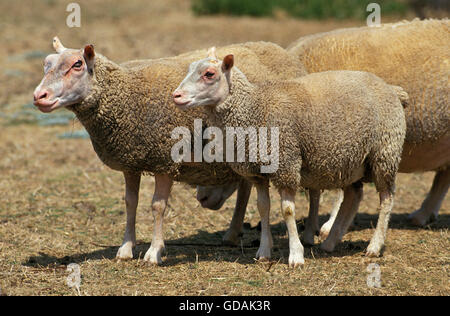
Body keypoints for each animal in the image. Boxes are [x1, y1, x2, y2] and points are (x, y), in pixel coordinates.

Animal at [31, 36, 306, 264]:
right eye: (46, 63)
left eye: (77, 64)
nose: (38, 96)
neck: (128, 95)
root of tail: (278, 48)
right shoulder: (131, 161)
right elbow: (130, 203)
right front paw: (125, 248)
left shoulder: (164, 160)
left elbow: (157, 207)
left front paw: (153, 252)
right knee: (246, 185)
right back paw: (232, 232)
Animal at [172, 50, 408, 266]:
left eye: (209, 74)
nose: (176, 96)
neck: (255, 109)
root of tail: (391, 88)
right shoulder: (258, 173)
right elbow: (263, 207)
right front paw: (264, 251)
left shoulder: (286, 163)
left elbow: (287, 210)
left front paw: (296, 255)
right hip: (351, 160)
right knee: (354, 195)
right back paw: (330, 242)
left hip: (385, 153)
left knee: (387, 198)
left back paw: (374, 246)